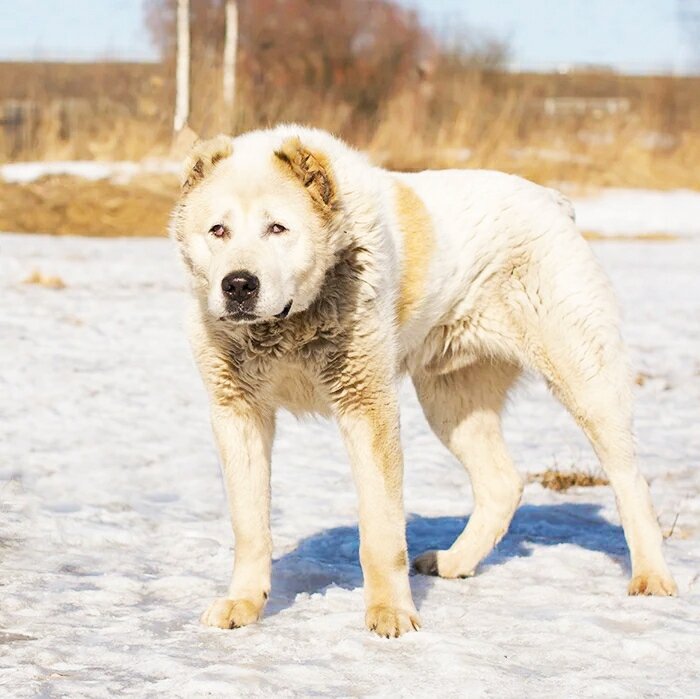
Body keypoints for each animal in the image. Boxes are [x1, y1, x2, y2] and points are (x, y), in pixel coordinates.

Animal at [171, 126, 680, 640]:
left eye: (277, 228)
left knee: (629, 481)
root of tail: (553, 202)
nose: (238, 285)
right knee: (502, 484)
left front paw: (391, 613)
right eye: (218, 230)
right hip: (451, 403)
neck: (287, 327)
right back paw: (455, 562)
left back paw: (651, 577)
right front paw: (242, 603)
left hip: (585, 378)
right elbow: (249, 525)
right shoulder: (238, 413)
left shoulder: (368, 405)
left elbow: (380, 531)